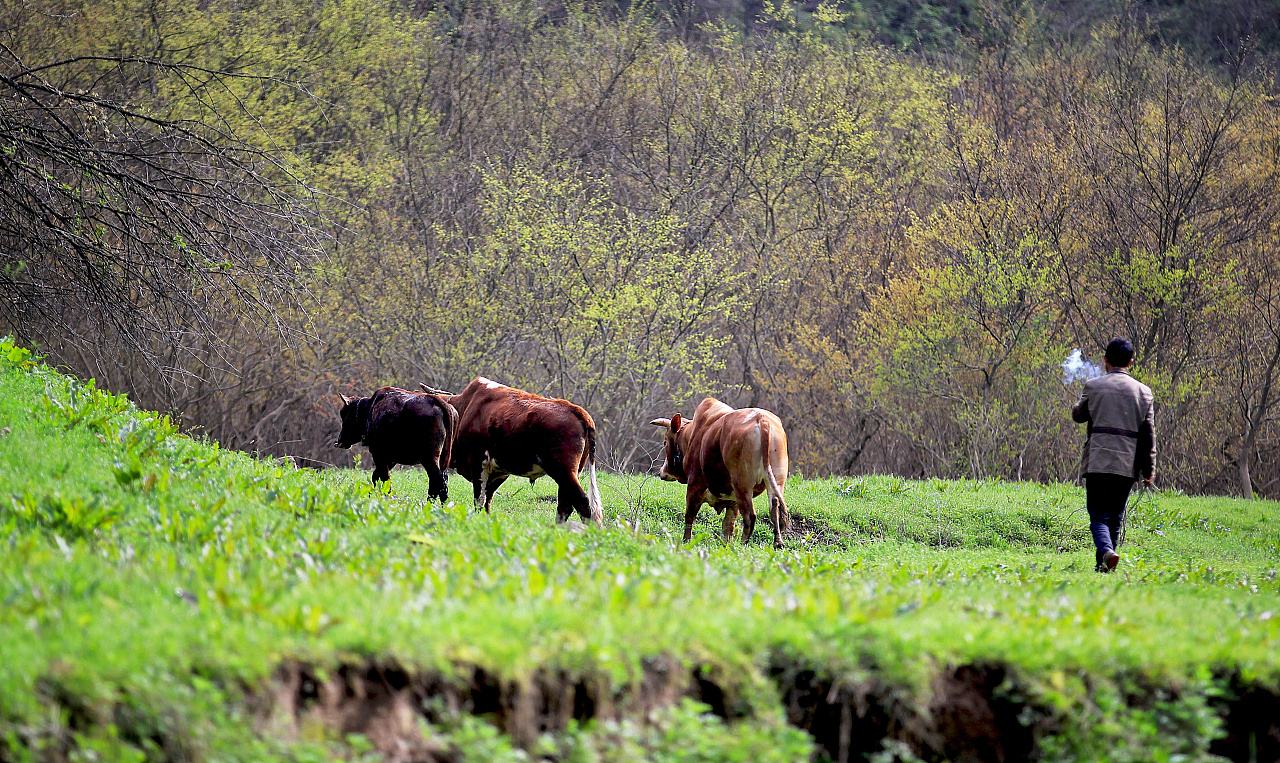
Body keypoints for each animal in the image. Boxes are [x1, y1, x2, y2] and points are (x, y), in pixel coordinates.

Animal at [419, 376, 599, 524]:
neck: (466, 409)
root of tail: (575, 409)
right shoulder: (499, 471)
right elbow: (487, 501)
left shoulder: (479, 464)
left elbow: (479, 500)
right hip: (570, 474)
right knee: (565, 506)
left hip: (563, 471)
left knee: (582, 503)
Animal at [650, 399, 788, 547]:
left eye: (665, 442)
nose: (662, 472)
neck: (692, 435)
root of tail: (763, 420)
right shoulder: (732, 501)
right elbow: (728, 526)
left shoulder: (695, 485)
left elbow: (689, 516)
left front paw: (686, 541)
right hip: (776, 481)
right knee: (775, 507)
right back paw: (778, 543)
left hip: (742, 485)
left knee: (750, 516)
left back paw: (742, 545)